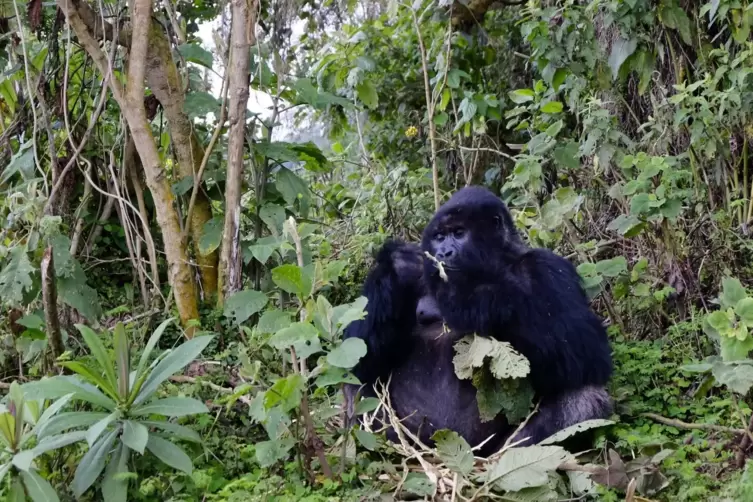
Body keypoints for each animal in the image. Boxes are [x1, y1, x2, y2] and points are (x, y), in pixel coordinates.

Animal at [344, 186, 612, 452]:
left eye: (459, 233)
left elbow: (585, 350)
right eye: (439, 236)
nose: (443, 253)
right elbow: (359, 356)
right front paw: (396, 266)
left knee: (586, 398)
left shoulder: (550, 267)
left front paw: (471, 296)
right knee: (355, 383)